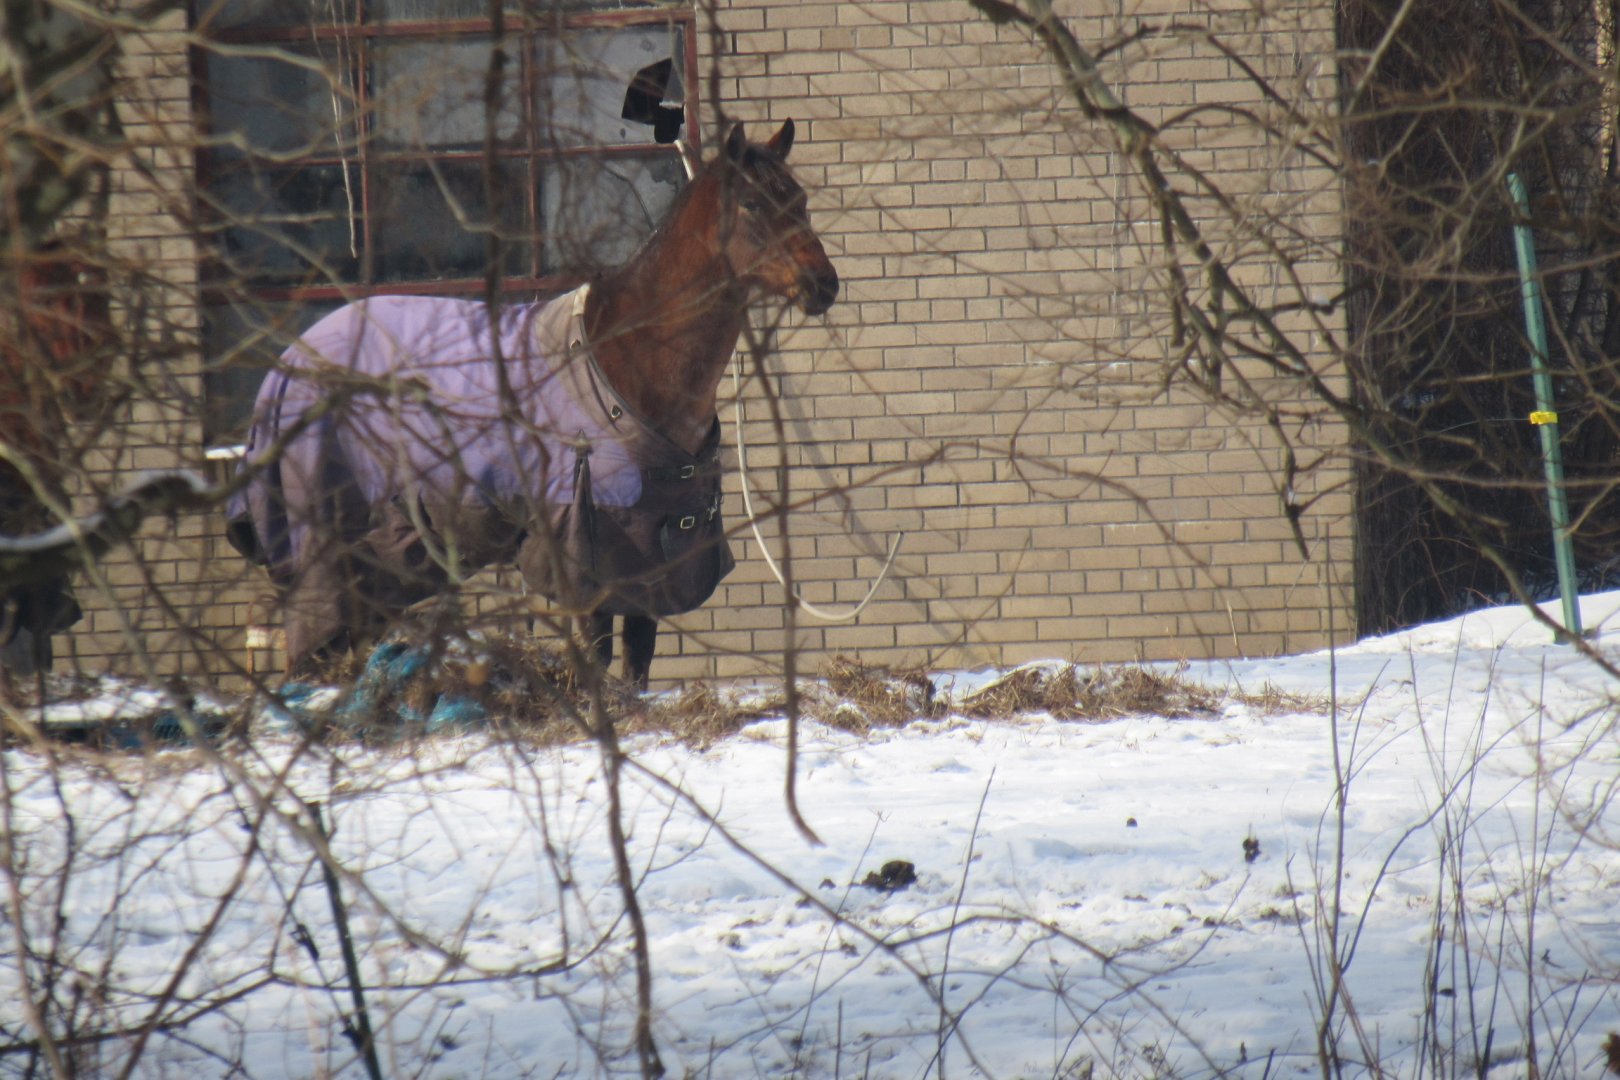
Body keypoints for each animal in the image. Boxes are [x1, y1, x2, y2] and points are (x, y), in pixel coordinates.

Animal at [227, 119, 839, 688]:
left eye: (801, 200)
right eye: (753, 204)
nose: (824, 285)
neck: (630, 357)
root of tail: (285, 369)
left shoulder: (651, 561)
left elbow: (638, 665)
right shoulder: (587, 556)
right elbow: (599, 658)